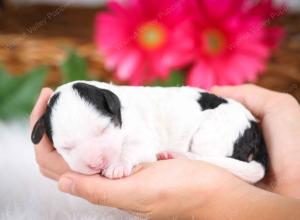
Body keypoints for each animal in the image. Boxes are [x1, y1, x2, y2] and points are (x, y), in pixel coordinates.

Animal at [31, 81, 268, 182]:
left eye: (104, 129)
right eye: (65, 147)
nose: (96, 164)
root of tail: (254, 128)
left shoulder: (143, 139)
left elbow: (131, 148)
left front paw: (117, 165)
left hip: (212, 134)